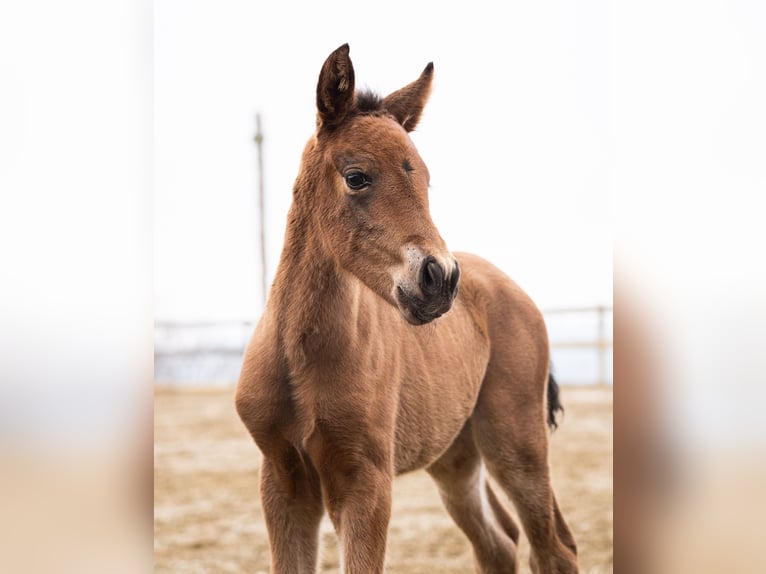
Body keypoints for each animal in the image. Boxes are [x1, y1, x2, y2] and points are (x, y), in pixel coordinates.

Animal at [236, 44, 578, 574]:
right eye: (356, 177)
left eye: (426, 180)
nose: (441, 279)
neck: (299, 357)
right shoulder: (282, 479)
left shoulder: (365, 481)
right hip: (455, 457)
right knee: (499, 544)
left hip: (515, 440)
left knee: (553, 549)